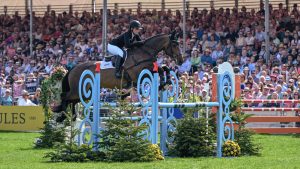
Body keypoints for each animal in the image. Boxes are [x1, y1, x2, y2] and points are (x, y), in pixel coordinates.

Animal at [51, 32, 183, 121]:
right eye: (174, 44)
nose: (181, 61)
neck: (144, 52)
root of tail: (73, 68)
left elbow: (164, 68)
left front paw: (166, 82)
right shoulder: (138, 73)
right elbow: (160, 69)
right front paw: (163, 83)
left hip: (83, 93)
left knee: (72, 101)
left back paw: (69, 117)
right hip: (77, 90)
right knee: (65, 97)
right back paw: (62, 115)